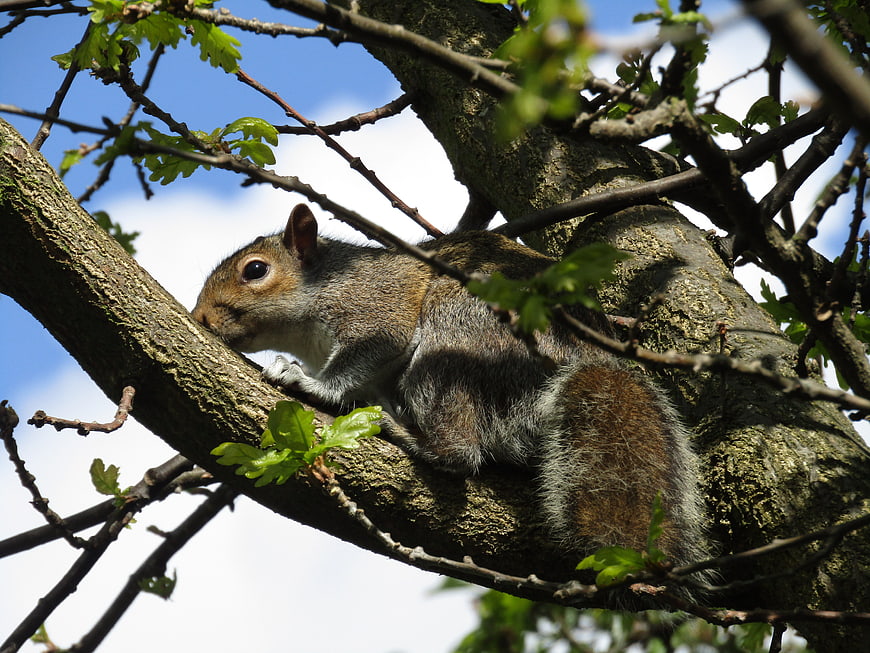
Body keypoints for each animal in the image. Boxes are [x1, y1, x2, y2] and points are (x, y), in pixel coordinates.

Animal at [192, 203, 707, 566]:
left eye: (255, 270)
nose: (200, 318)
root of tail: (590, 359)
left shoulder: (377, 309)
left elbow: (364, 354)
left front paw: (308, 382)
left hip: (458, 331)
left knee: (461, 450)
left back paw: (412, 436)